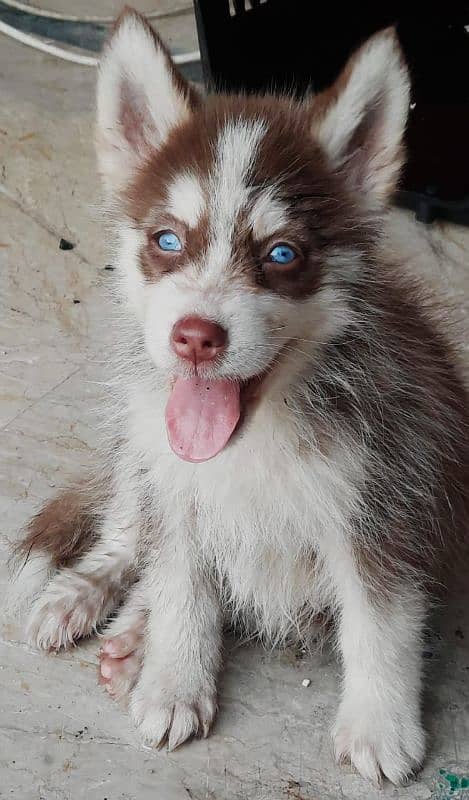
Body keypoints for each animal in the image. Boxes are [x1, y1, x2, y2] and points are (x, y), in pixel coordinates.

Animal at [10, 7, 468, 788]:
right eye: (167, 240)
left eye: (282, 254)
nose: (196, 337)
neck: (255, 438)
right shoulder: (176, 484)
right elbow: (180, 586)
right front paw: (173, 676)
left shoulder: (386, 499)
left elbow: (378, 623)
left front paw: (379, 723)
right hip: (140, 448)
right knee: (128, 533)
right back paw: (95, 600)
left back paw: (129, 638)